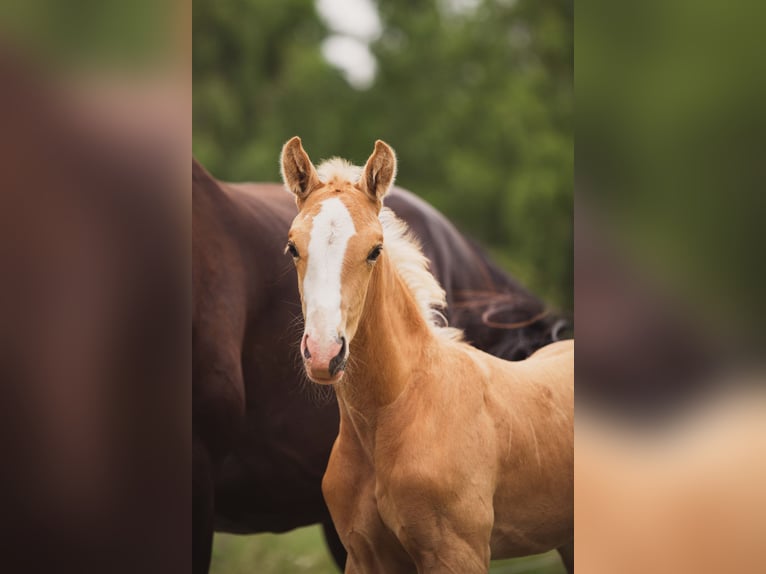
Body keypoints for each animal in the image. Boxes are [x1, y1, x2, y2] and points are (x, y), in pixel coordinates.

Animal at [192, 154, 567, 572]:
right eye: (292, 247)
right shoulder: (363, 553)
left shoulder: (458, 553)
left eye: (375, 249)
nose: (323, 353)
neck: (401, 407)